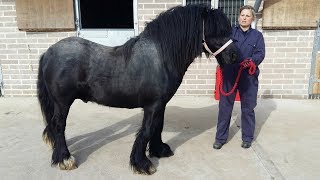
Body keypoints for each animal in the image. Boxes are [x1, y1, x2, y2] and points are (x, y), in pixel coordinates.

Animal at [37, 4, 238, 174]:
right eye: (215, 31)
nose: (235, 56)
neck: (162, 56)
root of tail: (48, 53)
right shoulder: (152, 105)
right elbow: (147, 130)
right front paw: (142, 164)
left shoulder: (160, 104)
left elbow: (158, 126)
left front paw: (159, 150)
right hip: (63, 102)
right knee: (58, 125)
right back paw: (64, 159)